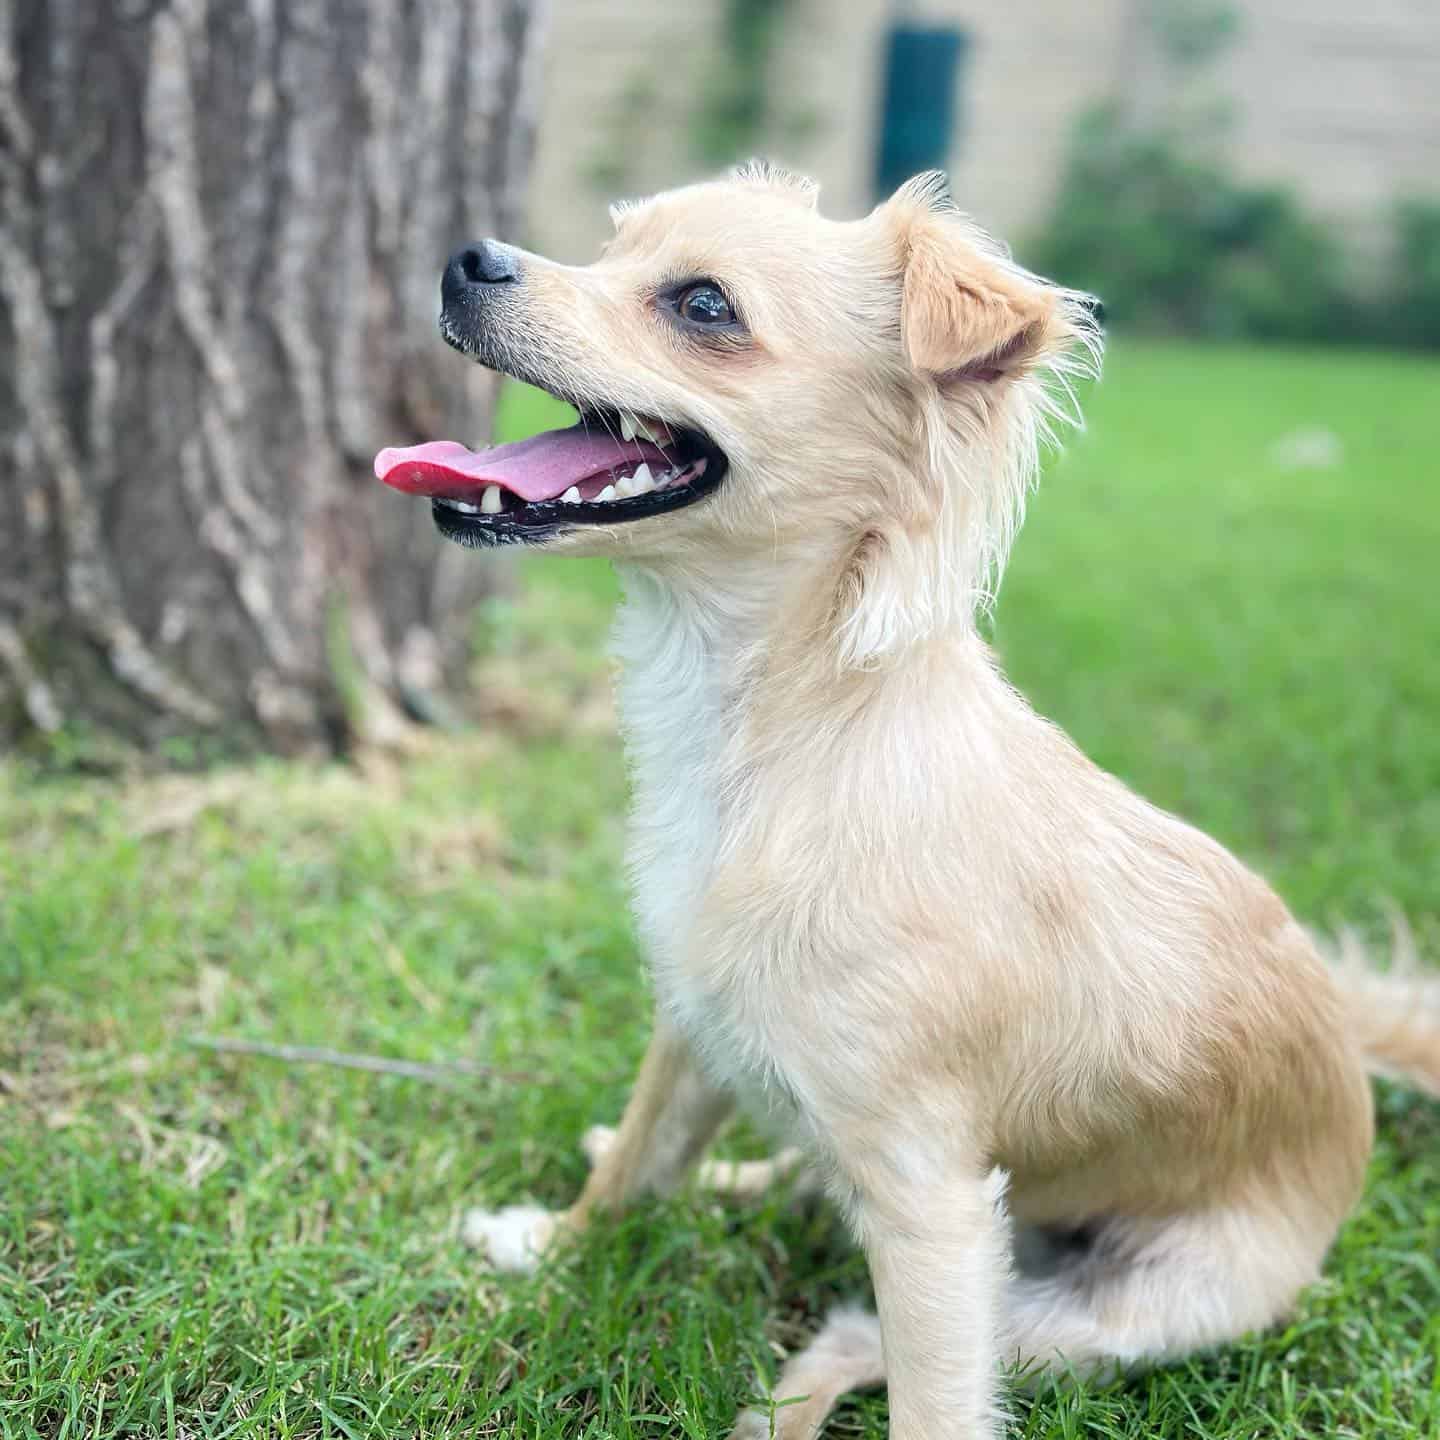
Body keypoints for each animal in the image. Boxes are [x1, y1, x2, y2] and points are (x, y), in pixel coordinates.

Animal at [374, 163, 1440, 1434]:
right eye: (613, 245)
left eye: (703, 305)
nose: (468, 258)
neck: (770, 742)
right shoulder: (695, 1027)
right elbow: (638, 1163)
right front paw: (554, 1244)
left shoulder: (933, 1204)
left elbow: (931, 1399)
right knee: (787, 1184)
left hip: (1104, 1313)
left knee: (855, 1338)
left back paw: (780, 1402)